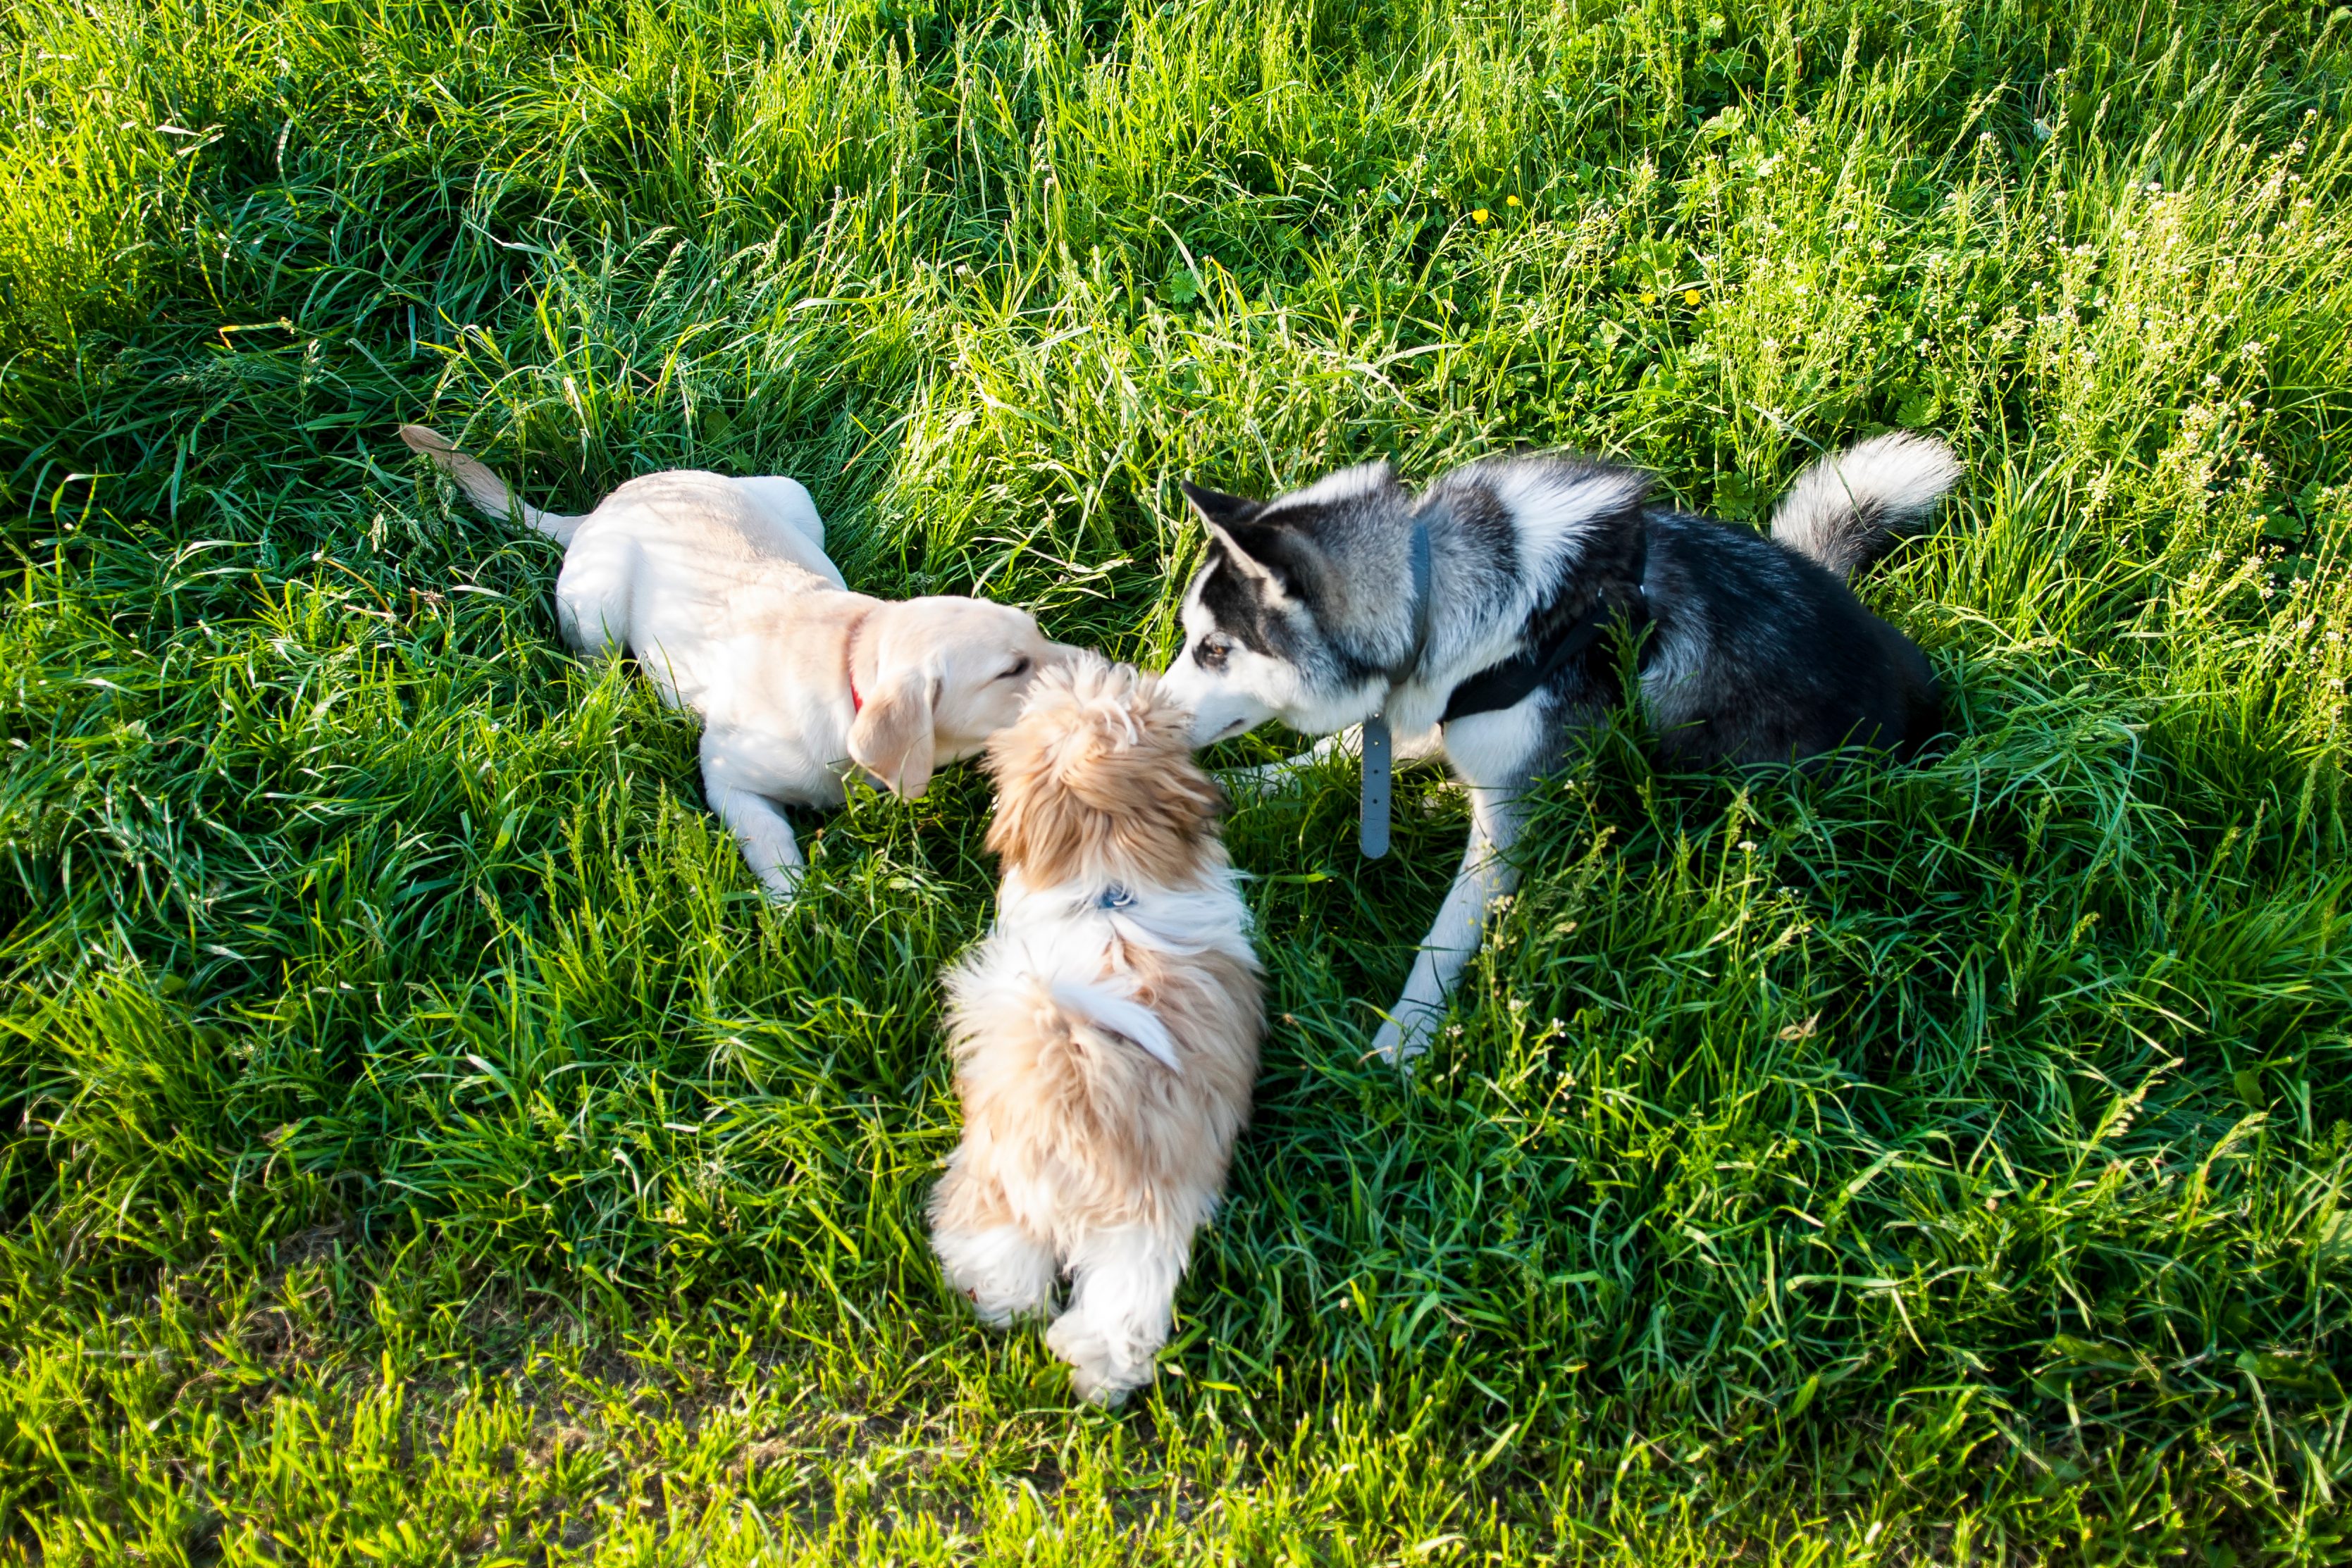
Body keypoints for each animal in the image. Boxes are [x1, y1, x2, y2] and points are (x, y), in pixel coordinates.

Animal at [397, 423, 1077, 902]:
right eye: (1012, 669)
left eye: (1037, 634)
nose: (1095, 664)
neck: (848, 670)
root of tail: (605, 504)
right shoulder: (725, 775)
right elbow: (771, 837)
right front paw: (792, 905)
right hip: (596, 607)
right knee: (591, 659)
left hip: (791, 496)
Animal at [936, 658, 1270, 1401]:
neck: (1108, 889)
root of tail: (1070, 1072)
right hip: (1145, 1213)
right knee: (1127, 1299)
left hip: (1004, 1177)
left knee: (1008, 1254)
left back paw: (1004, 1307)